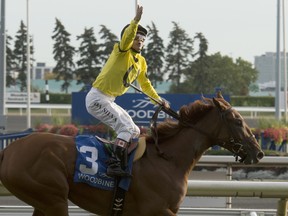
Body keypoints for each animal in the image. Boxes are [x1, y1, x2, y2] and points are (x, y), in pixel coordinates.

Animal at [0, 94, 264, 216]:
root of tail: (9, 150)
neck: (168, 159)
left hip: (43, 201)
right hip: (52, 198)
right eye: (237, 121)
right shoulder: (157, 209)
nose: (258, 152)